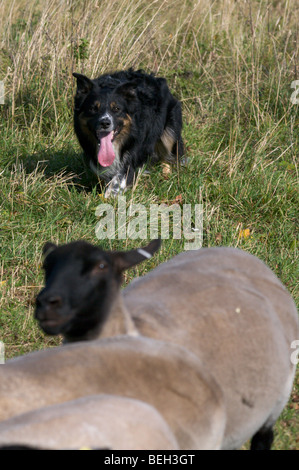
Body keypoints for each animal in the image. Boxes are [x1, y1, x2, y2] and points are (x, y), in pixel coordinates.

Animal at [0, 241, 299, 450]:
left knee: (264, 437)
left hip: (276, 400)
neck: (132, 330)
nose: (47, 303)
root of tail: (239, 252)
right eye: (46, 267)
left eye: (100, 267)